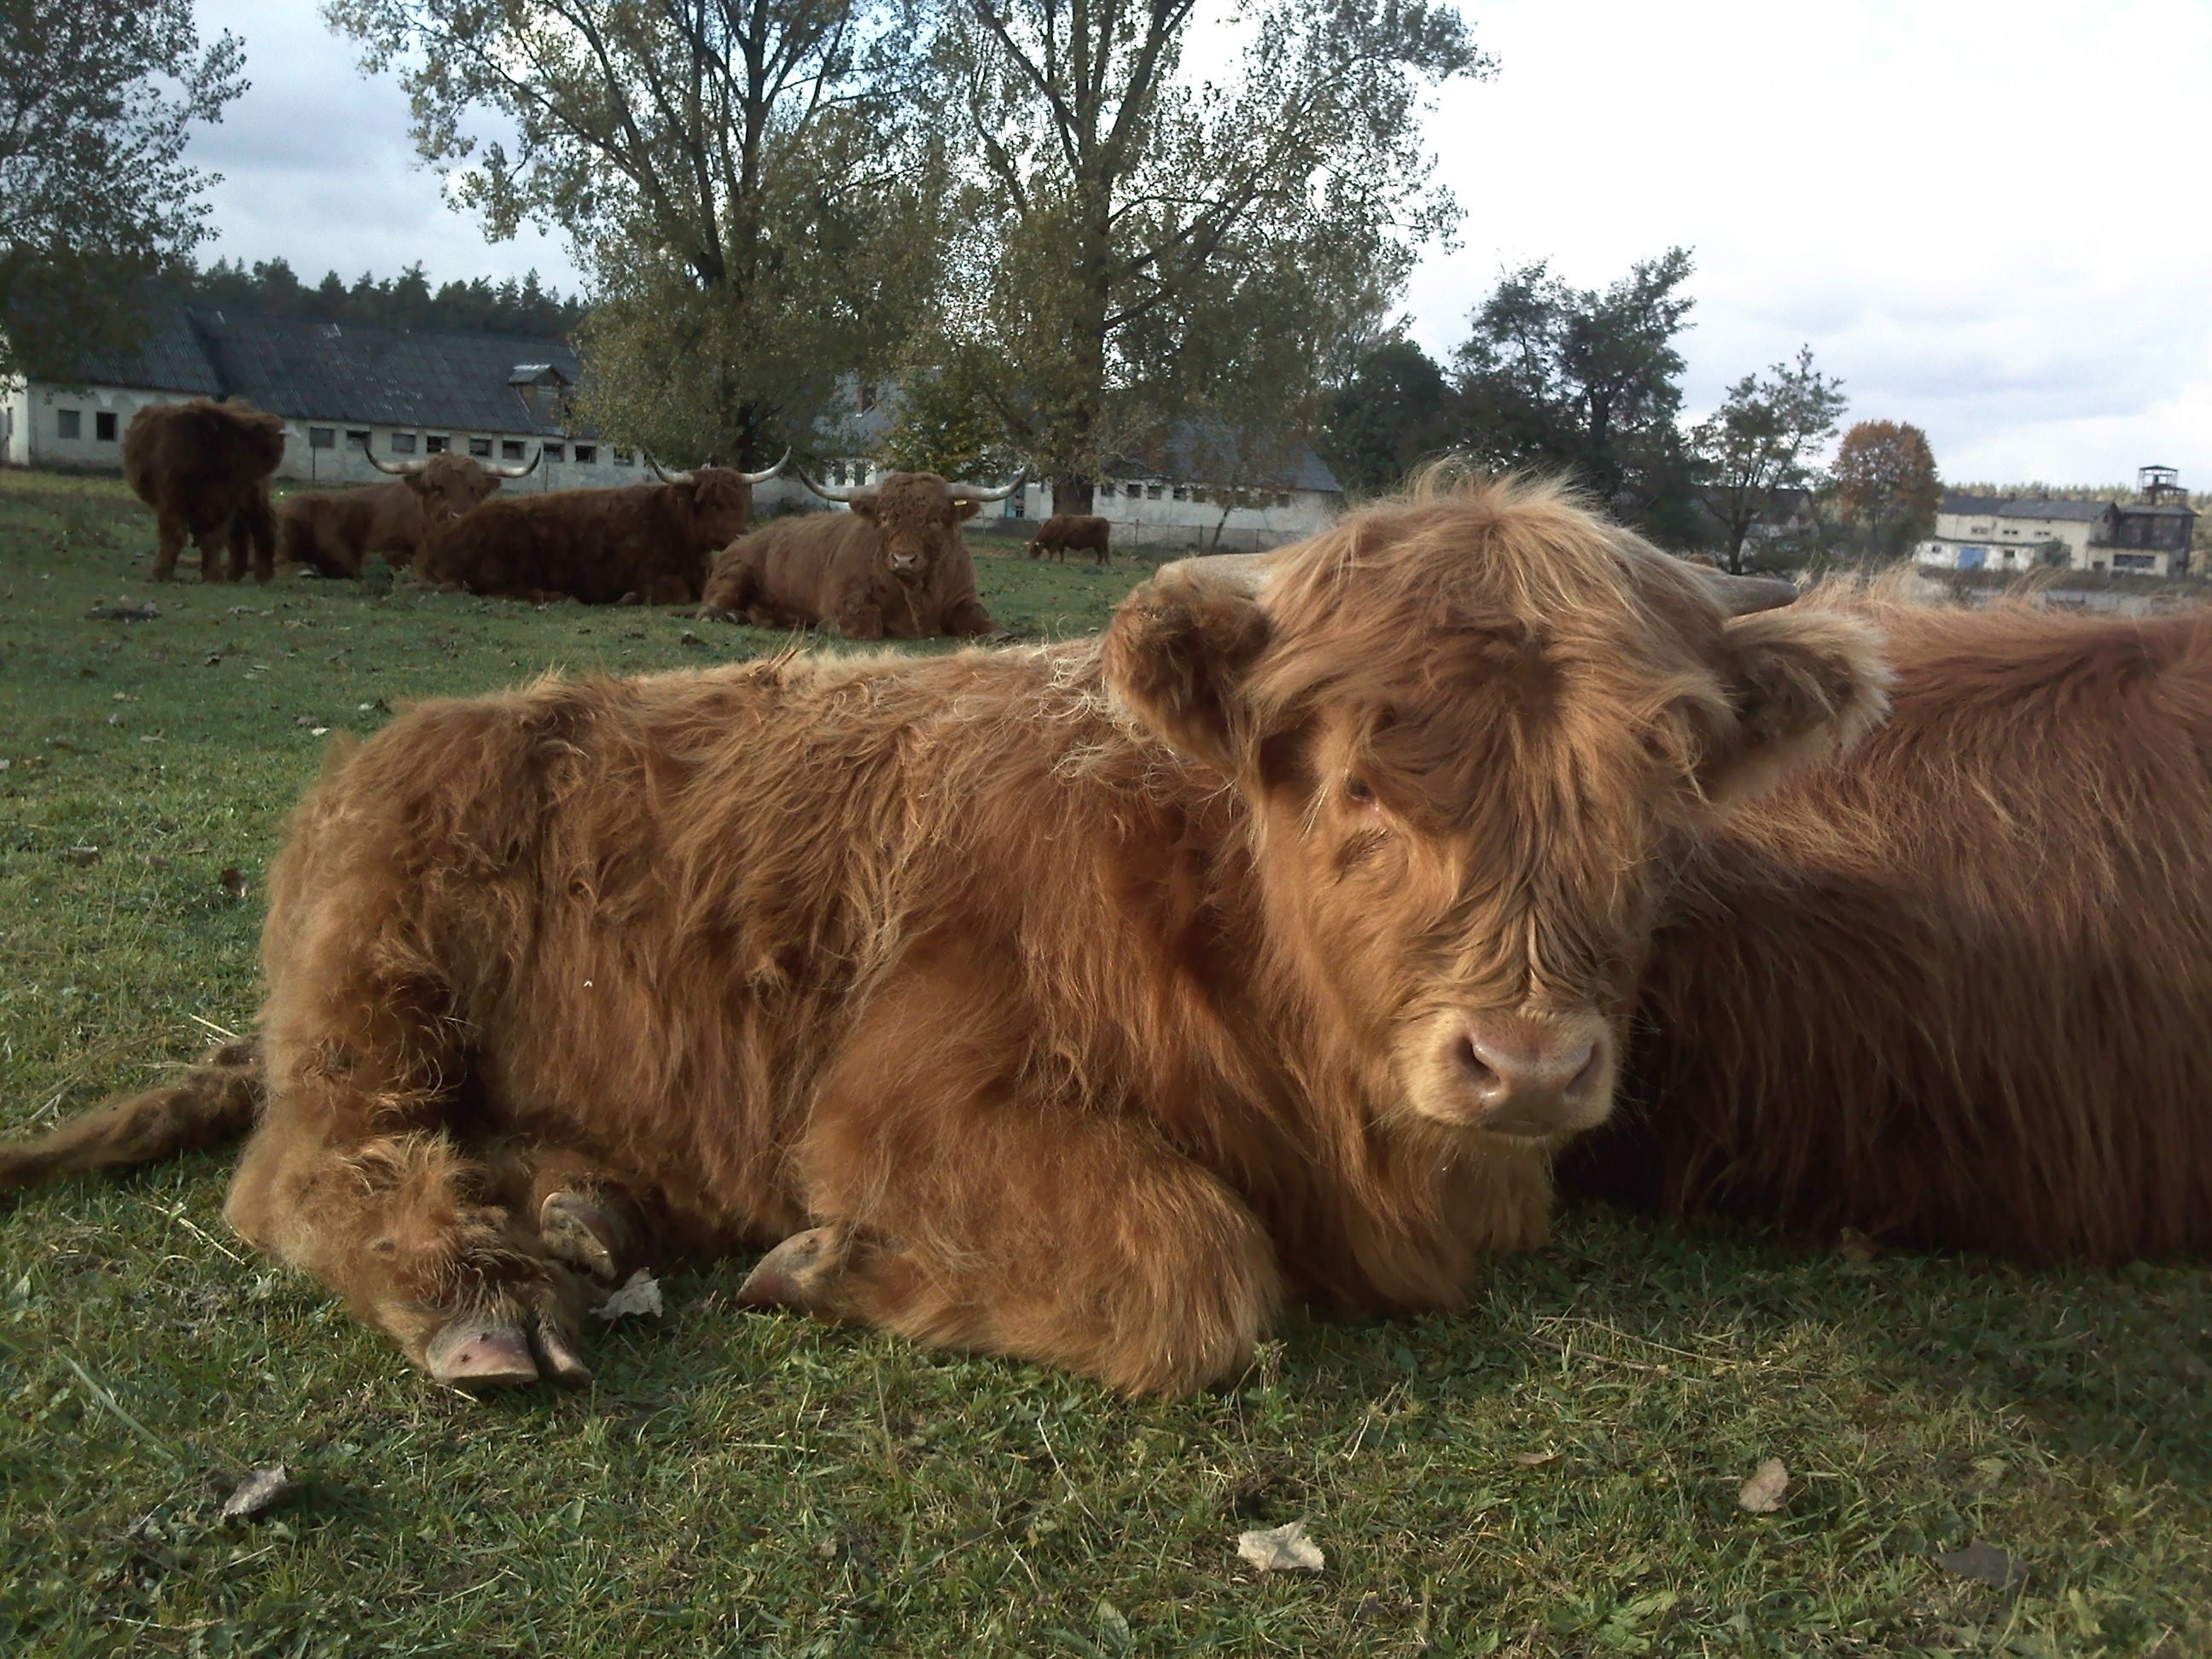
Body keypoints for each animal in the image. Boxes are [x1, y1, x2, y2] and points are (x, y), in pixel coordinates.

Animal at [121, 399, 287, 583]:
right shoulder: (172, 498)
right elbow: (175, 534)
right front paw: (162, 573)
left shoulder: (223, 502)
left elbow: (211, 537)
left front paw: (212, 576)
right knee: (245, 531)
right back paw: (239, 574)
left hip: (250, 497)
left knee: (259, 525)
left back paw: (257, 575)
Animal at [698, 468, 1022, 638]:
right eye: (884, 518)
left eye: (934, 519)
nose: (903, 559)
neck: (917, 594)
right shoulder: (847, 598)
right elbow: (866, 624)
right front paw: (826, 627)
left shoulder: (963, 597)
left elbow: (986, 623)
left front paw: (999, 633)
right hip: (734, 574)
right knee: (710, 606)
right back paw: (725, 615)